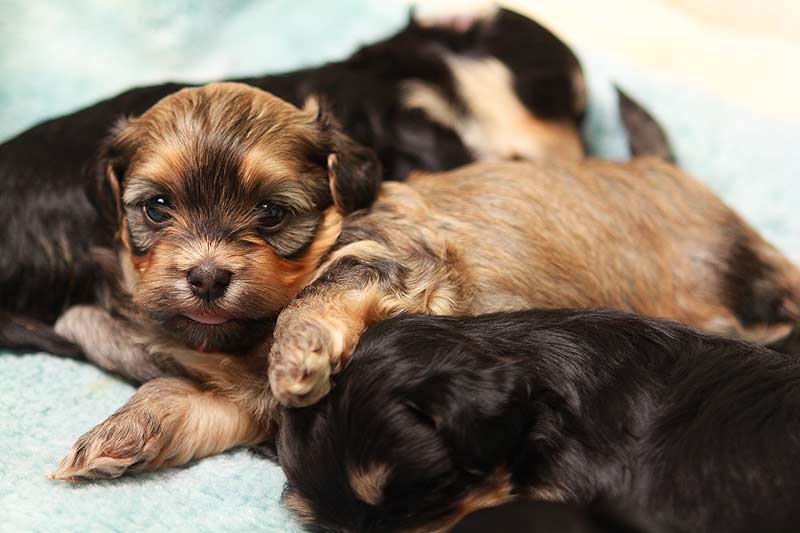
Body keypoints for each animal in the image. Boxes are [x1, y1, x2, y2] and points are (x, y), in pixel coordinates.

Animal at [48, 84, 800, 482]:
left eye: (271, 213)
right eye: (157, 208)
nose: (206, 275)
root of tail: (665, 168)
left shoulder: (400, 261)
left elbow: (320, 292)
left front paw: (298, 352)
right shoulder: (239, 400)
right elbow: (179, 396)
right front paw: (117, 434)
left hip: (739, 259)